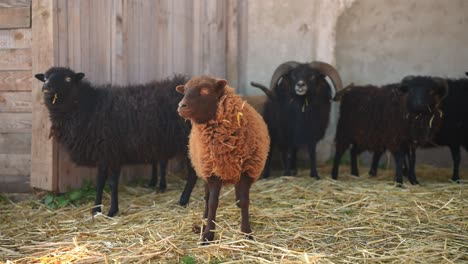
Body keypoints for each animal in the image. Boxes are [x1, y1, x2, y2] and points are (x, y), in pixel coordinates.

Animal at [34, 66, 197, 217]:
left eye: (68, 79)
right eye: (45, 78)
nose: (46, 87)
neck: (89, 105)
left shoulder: (113, 152)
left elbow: (112, 184)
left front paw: (112, 210)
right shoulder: (102, 153)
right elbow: (100, 182)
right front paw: (96, 209)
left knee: (193, 174)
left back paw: (183, 200)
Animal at [176, 76, 270, 243]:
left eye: (205, 91)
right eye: (185, 91)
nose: (181, 106)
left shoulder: (247, 171)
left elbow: (245, 201)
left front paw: (247, 233)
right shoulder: (213, 172)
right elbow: (213, 203)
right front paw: (208, 234)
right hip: (204, 168)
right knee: (207, 198)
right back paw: (204, 221)